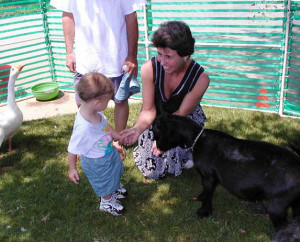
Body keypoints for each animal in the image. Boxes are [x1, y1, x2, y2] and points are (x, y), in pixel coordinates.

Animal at [154, 113, 298, 231]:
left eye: (157, 133)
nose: (158, 147)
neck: (198, 138)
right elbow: (205, 191)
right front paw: (200, 198)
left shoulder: (208, 177)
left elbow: (208, 194)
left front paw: (204, 212)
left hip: (276, 206)